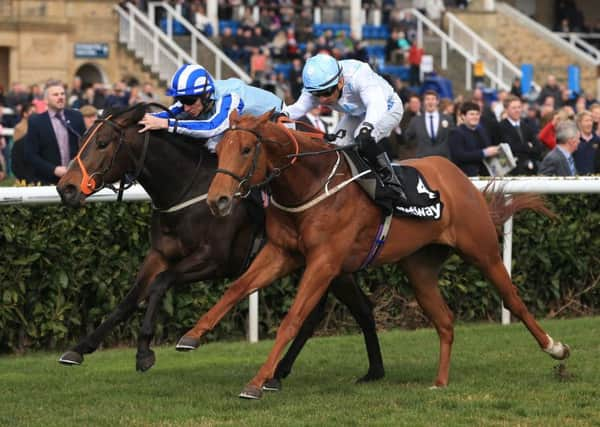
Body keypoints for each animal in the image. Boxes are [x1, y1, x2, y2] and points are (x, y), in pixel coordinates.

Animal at [55, 103, 384, 388]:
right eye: (82, 138)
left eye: (103, 143)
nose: (65, 188)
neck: (188, 191)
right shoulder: (159, 254)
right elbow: (130, 299)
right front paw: (79, 348)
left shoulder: (215, 261)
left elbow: (161, 283)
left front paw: (144, 351)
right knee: (343, 311)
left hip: (330, 263)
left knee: (346, 311)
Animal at [179, 109, 572, 398]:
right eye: (219, 151)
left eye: (247, 150)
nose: (218, 200)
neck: (311, 185)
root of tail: (457, 176)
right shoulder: (282, 252)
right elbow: (237, 288)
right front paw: (192, 337)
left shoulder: (324, 262)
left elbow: (292, 319)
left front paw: (258, 381)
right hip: (420, 269)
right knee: (445, 321)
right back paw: (440, 382)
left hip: (483, 252)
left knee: (513, 300)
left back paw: (555, 348)